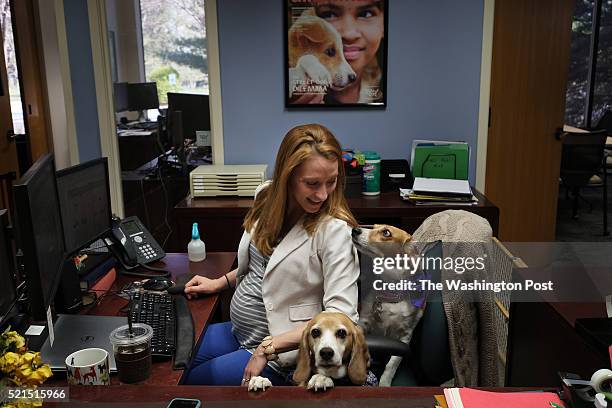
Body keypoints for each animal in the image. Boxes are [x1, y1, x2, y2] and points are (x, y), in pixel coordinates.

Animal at [350, 225, 426, 388]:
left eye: (386, 232)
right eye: (374, 227)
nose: (355, 229)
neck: (391, 294)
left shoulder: (405, 338)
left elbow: (392, 364)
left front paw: (384, 383)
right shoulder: (364, 322)